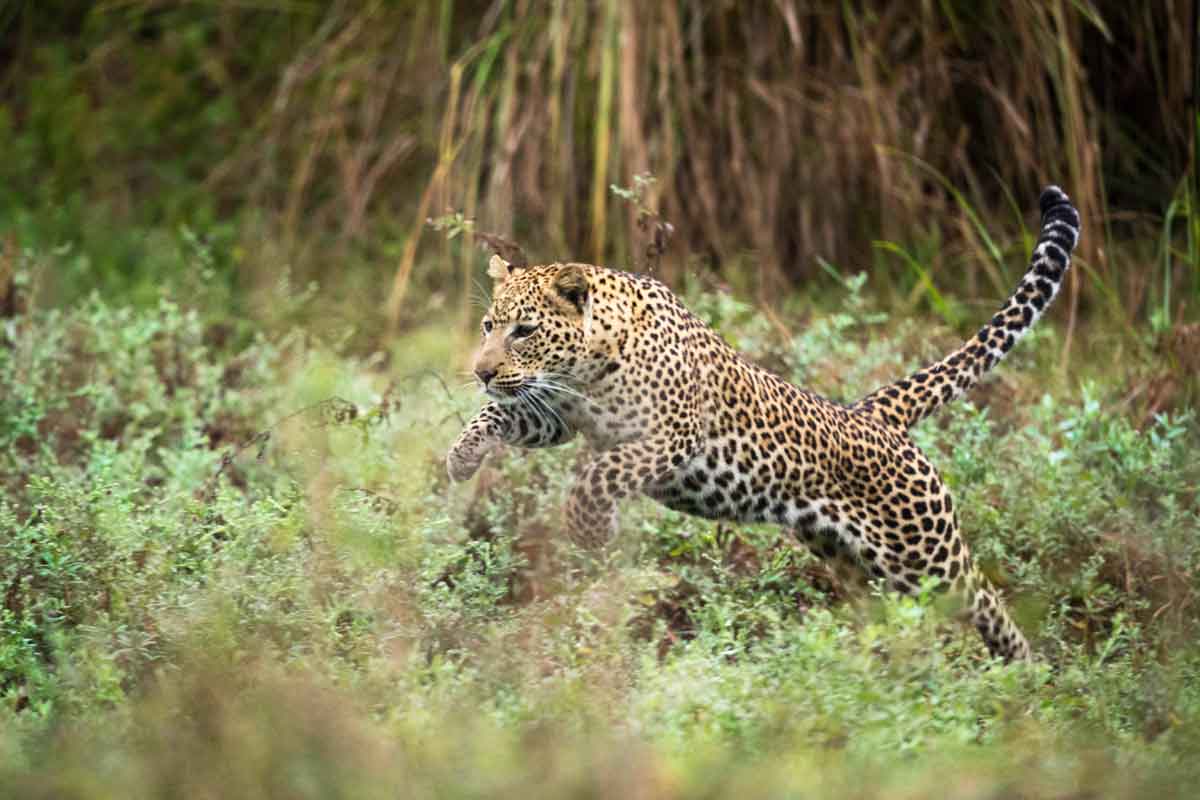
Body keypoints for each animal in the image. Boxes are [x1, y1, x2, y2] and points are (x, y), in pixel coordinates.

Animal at [446, 184, 1084, 662]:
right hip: (854, 562)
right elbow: (500, 413)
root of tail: (872, 415)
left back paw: (1028, 679)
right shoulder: (556, 414)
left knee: (986, 600)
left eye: (525, 330)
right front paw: (462, 456)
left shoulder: (673, 435)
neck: (587, 360)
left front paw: (590, 529)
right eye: (488, 326)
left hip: (927, 553)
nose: (479, 369)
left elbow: (602, 473)